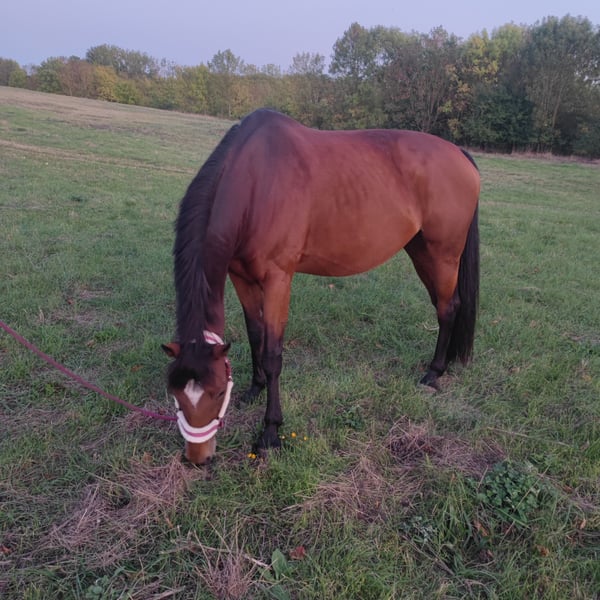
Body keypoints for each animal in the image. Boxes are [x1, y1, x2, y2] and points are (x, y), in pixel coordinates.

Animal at [162, 109, 480, 465]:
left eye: (217, 392)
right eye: (175, 394)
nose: (198, 457)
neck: (256, 181)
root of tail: (460, 154)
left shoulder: (278, 279)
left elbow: (273, 353)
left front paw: (270, 432)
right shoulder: (240, 277)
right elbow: (255, 335)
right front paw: (255, 389)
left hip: (444, 255)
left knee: (448, 308)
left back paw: (433, 373)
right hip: (421, 251)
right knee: (444, 305)